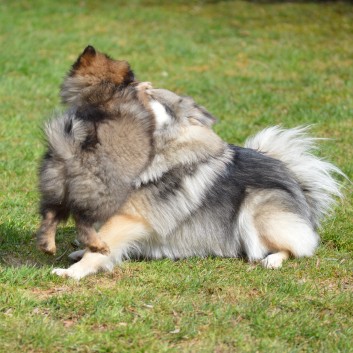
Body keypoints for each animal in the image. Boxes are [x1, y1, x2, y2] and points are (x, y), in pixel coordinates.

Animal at [36, 46, 155, 256]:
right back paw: (97, 244)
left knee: (50, 214)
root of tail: (69, 155)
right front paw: (142, 87)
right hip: (105, 197)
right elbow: (143, 100)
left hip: (55, 189)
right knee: (82, 221)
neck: (98, 90)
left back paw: (48, 244)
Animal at [51, 87, 342, 278]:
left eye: (152, 94)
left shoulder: (130, 217)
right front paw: (81, 253)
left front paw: (72, 272)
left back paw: (273, 260)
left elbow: (100, 249)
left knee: (301, 246)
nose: (134, 84)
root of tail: (299, 188)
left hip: (259, 207)